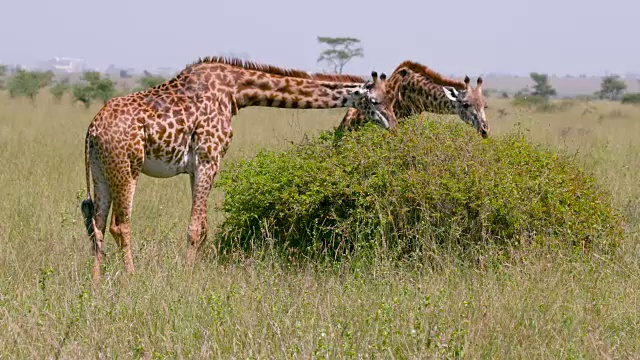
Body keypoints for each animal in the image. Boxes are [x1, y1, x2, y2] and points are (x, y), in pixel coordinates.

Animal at [80, 56, 398, 282]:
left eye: (393, 99)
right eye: (374, 101)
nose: (394, 126)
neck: (236, 90)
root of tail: (92, 130)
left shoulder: (197, 167)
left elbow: (203, 227)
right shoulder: (209, 158)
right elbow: (196, 228)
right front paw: (187, 278)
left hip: (101, 172)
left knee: (97, 224)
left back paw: (96, 281)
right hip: (127, 168)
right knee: (120, 224)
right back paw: (132, 278)